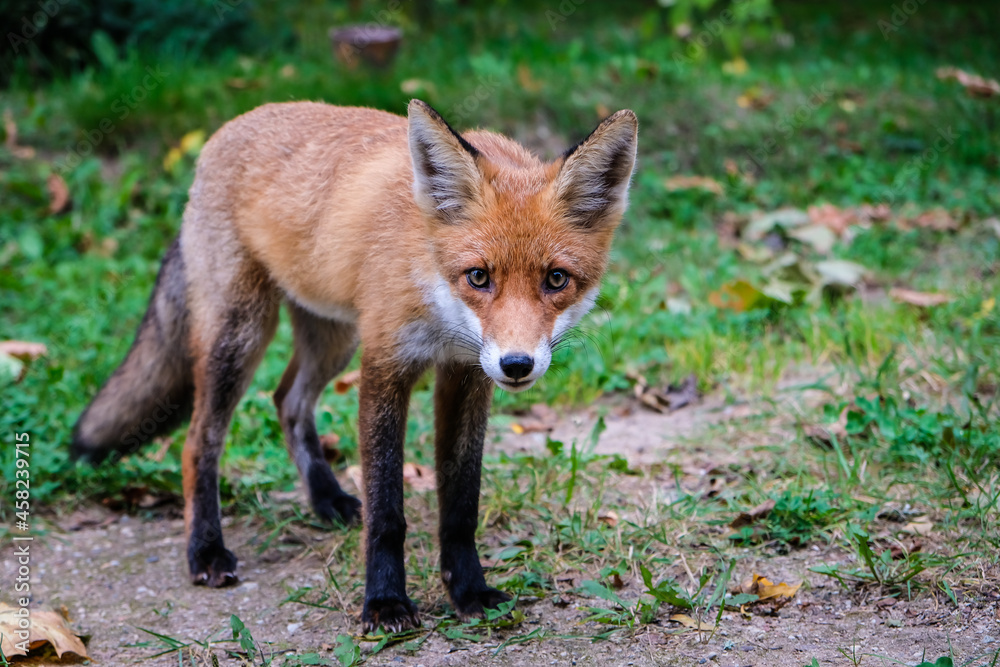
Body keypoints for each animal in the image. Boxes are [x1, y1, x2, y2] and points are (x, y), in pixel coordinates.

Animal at [71, 99, 638, 632]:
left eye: (556, 279)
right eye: (478, 277)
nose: (517, 364)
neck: (434, 296)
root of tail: (222, 134)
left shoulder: (466, 374)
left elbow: (461, 503)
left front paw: (468, 591)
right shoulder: (384, 365)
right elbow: (387, 509)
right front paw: (385, 602)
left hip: (331, 336)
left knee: (288, 401)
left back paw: (327, 499)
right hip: (241, 334)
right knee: (197, 442)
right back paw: (206, 548)